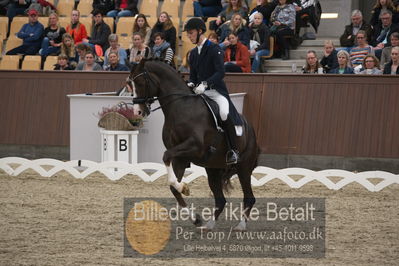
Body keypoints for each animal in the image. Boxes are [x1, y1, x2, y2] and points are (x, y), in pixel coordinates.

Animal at [127, 58, 260, 231]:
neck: (180, 107)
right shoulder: (180, 157)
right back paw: (208, 225)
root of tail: (250, 128)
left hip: (244, 168)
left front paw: (184, 187)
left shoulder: (195, 147)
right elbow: (172, 186)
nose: (137, 112)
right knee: (220, 199)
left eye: (141, 83)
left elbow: (165, 156)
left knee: (249, 197)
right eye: (130, 83)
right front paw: (193, 213)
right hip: (213, 170)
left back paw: (241, 225)